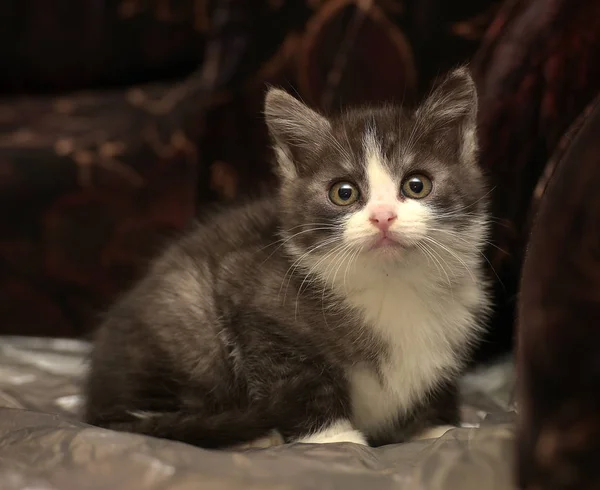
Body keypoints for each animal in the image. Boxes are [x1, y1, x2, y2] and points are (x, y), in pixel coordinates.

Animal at [84, 67, 492, 450]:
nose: (383, 216)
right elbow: (297, 377)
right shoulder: (255, 299)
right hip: (184, 310)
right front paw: (333, 438)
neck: (392, 283)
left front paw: (434, 428)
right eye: (344, 193)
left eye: (417, 185)